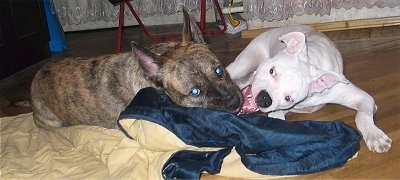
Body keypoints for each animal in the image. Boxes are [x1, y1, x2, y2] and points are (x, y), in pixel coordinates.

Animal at [228, 24, 390, 153]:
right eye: (272, 71)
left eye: (288, 98)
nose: (264, 98)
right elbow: (277, 118)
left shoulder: (363, 98)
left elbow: (362, 116)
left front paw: (375, 136)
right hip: (243, 64)